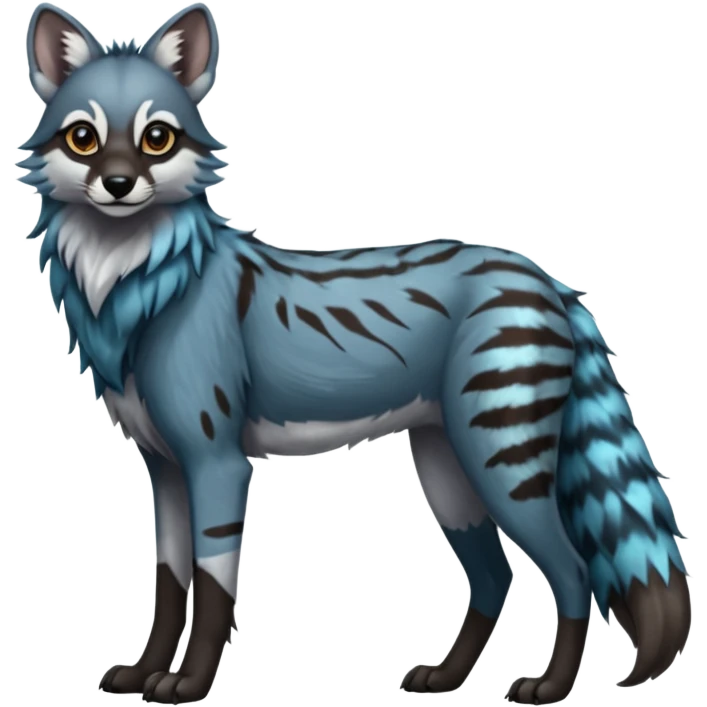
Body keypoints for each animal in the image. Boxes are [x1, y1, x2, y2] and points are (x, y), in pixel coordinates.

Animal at [19, 2, 691, 704]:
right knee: (495, 577)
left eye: (157, 138)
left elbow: (211, 591)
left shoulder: (217, 462)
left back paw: (550, 686)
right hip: (447, 470)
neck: (134, 290)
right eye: (83, 138)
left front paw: (190, 682)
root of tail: (546, 278)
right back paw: (447, 677)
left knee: (573, 571)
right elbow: (170, 585)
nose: (119, 184)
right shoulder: (164, 469)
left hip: (501, 465)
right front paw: (146, 670)